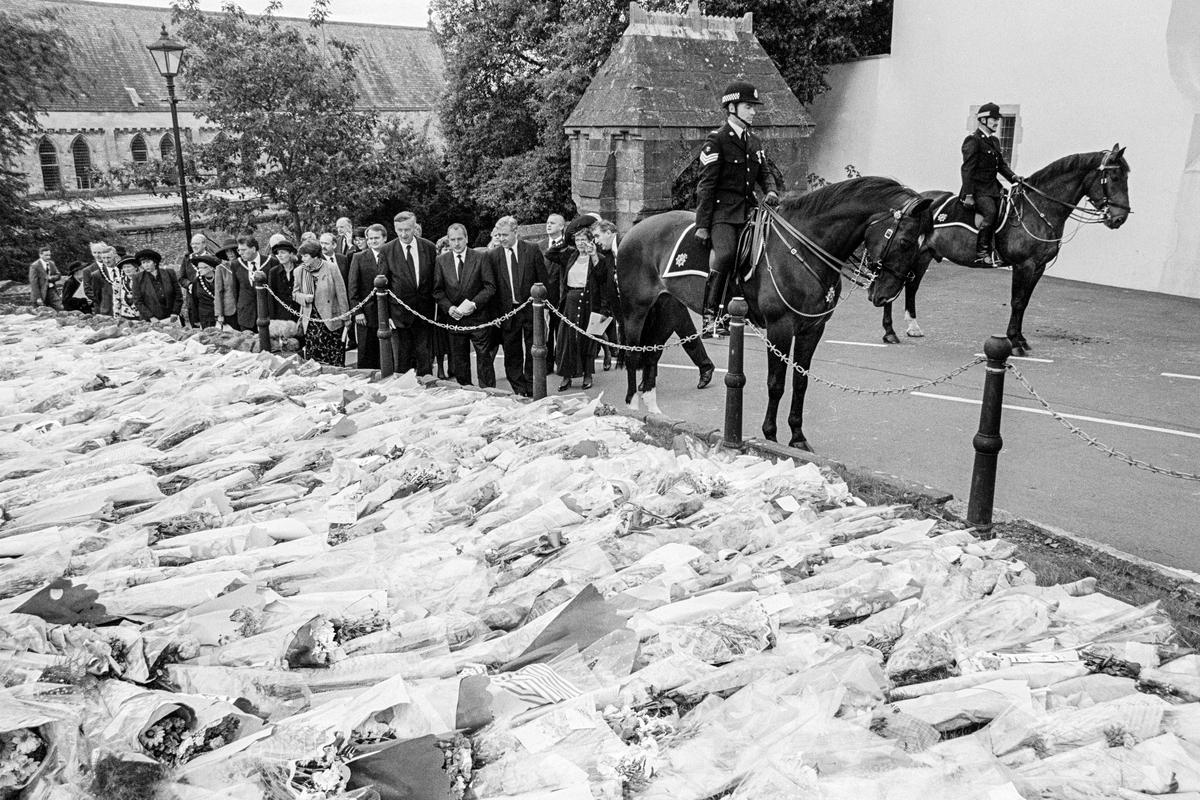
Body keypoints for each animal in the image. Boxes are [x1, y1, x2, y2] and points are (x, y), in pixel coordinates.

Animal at [614, 176, 931, 450]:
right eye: (905, 242)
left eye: (920, 245)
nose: (886, 294)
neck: (803, 249)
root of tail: (634, 230)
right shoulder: (780, 328)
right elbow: (776, 383)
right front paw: (770, 434)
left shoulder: (812, 330)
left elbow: (801, 382)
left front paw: (798, 437)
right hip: (635, 310)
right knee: (631, 354)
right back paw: (631, 406)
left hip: (666, 309)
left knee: (651, 356)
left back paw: (653, 411)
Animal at [878, 146, 1128, 352]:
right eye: (1115, 177)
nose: (1120, 218)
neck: (1038, 209)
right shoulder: (1024, 265)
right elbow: (1017, 301)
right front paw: (1014, 342)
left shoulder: (1038, 267)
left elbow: (1024, 302)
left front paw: (1020, 339)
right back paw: (889, 332)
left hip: (924, 255)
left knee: (911, 286)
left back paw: (912, 327)